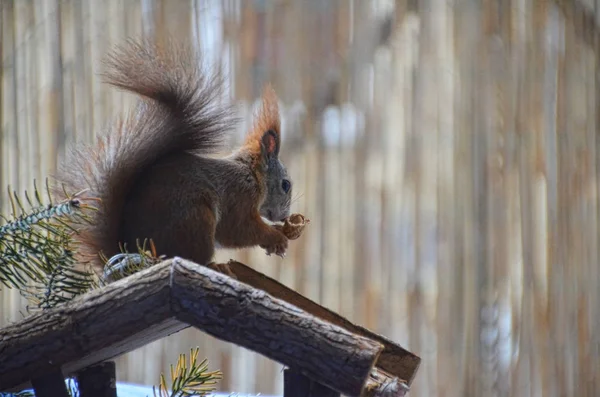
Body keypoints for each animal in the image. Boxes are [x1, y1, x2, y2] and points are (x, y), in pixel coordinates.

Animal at [54, 38, 304, 276]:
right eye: (285, 185)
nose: (284, 216)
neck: (251, 174)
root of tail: (129, 248)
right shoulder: (239, 196)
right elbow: (238, 229)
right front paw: (276, 237)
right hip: (196, 219)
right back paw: (215, 266)